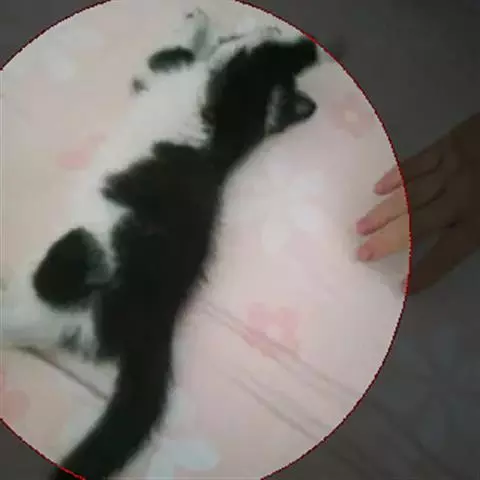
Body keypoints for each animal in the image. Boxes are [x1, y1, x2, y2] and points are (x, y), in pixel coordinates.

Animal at [1, 8, 322, 480]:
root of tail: (158, 322)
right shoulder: (172, 77)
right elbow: (183, 53)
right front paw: (213, 25)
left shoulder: (222, 85)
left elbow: (227, 53)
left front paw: (272, 36)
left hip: (88, 256)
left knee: (47, 294)